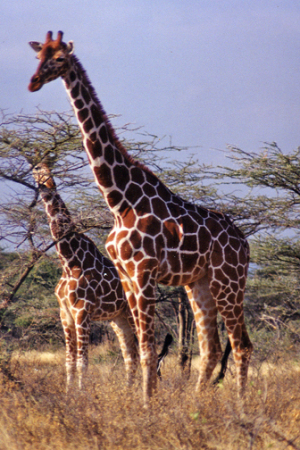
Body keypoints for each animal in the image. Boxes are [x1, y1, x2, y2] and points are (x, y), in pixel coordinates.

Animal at [31, 159, 139, 390]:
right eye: (37, 169)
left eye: (48, 169)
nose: (48, 183)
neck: (69, 261)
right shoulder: (65, 314)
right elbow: (69, 362)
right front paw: (68, 392)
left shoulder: (82, 311)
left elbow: (83, 361)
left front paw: (81, 392)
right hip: (118, 318)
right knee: (131, 355)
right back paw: (129, 390)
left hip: (131, 313)